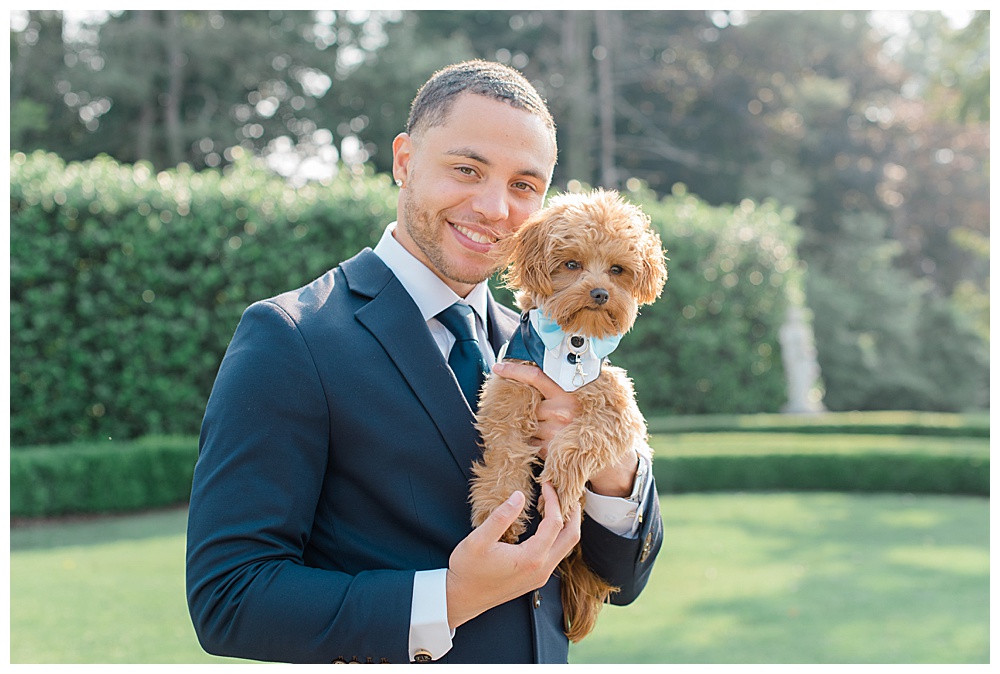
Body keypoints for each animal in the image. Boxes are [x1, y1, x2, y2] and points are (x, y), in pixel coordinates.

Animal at [470, 186, 672, 636]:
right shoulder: (507, 394)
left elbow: (577, 442)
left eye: (617, 269)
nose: (599, 293)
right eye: (571, 264)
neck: (572, 343)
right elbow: (505, 457)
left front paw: (559, 491)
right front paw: (499, 512)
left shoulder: (616, 410)